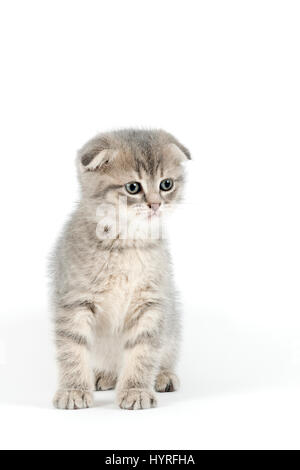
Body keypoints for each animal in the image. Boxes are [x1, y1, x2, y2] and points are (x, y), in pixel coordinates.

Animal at [49, 129, 190, 412]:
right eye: (133, 187)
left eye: (166, 184)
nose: (155, 205)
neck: (127, 244)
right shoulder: (74, 301)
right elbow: (72, 348)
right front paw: (73, 389)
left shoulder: (151, 302)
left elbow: (144, 350)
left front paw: (136, 389)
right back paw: (104, 375)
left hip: (172, 322)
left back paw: (163, 375)